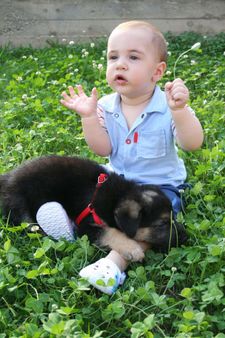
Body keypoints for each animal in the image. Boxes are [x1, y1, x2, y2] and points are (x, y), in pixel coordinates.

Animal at [0, 156, 187, 262]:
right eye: (162, 224)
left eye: (174, 217)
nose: (186, 236)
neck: (118, 197)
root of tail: (7, 178)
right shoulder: (86, 225)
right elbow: (109, 232)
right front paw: (132, 248)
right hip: (20, 205)